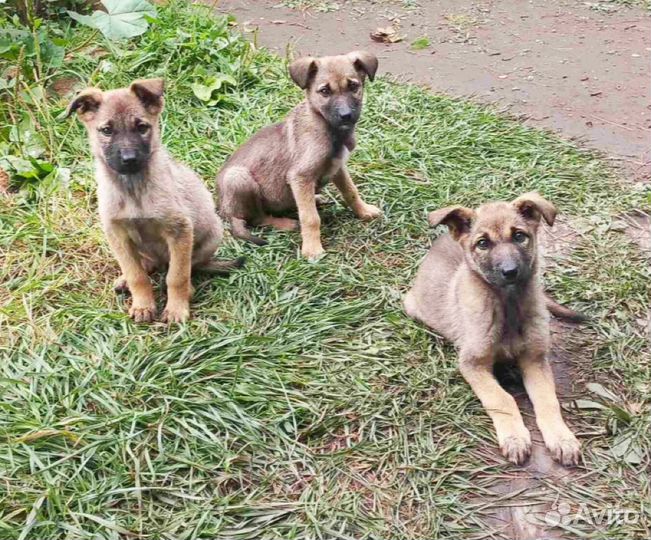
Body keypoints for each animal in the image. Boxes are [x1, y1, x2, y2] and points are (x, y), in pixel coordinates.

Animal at [67, 78, 243, 322]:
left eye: (142, 127)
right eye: (107, 130)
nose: (129, 159)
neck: (133, 190)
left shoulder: (179, 231)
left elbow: (177, 276)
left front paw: (176, 308)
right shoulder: (117, 234)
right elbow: (136, 275)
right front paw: (143, 305)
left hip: (212, 234)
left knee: (188, 265)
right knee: (145, 264)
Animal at [216, 51, 384, 260]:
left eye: (353, 86)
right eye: (324, 91)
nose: (346, 116)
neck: (327, 128)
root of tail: (224, 211)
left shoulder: (338, 168)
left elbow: (351, 191)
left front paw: (364, 211)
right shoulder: (300, 176)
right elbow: (310, 217)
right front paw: (312, 249)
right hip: (237, 178)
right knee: (257, 217)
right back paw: (286, 223)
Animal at [404, 193, 584, 464]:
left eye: (519, 236)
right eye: (482, 243)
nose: (510, 271)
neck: (508, 308)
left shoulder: (535, 359)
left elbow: (547, 399)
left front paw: (561, 437)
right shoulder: (472, 364)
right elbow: (501, 399)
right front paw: (514, 437)